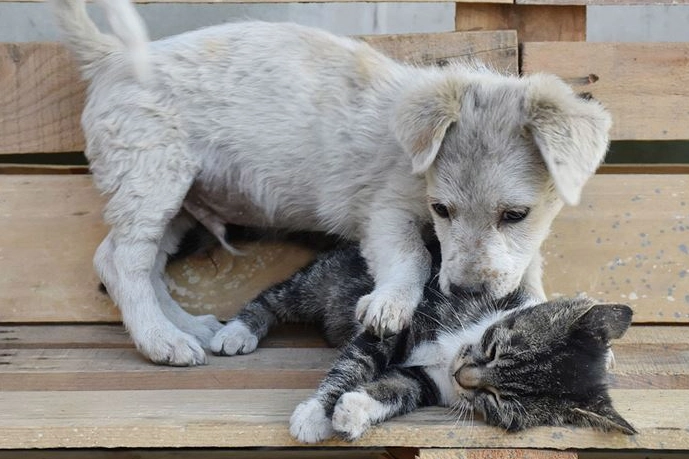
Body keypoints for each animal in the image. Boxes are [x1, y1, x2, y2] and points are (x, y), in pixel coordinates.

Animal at [51, 0, 612, 366]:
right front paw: (391, 303)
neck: (416, 159)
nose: (468, 292)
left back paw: (186, 325)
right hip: (152, 179)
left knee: (137, 263)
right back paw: (161, 341)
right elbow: (413, 256)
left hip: (179, 201)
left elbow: (528, 268)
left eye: (515, 214)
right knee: (123, 262)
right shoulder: (384, 213)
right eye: (442, 210)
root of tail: (110, 56)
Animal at [214, 244, 636, 442]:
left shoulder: (431, 382)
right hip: (323, 282)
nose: (462, 375)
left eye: (499, 400)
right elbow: (354, 363)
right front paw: (316, 414)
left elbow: (401, 387)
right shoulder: (395, 322)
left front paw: (355, 410)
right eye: (494, 347)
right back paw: (237, 331)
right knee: (276, 298)